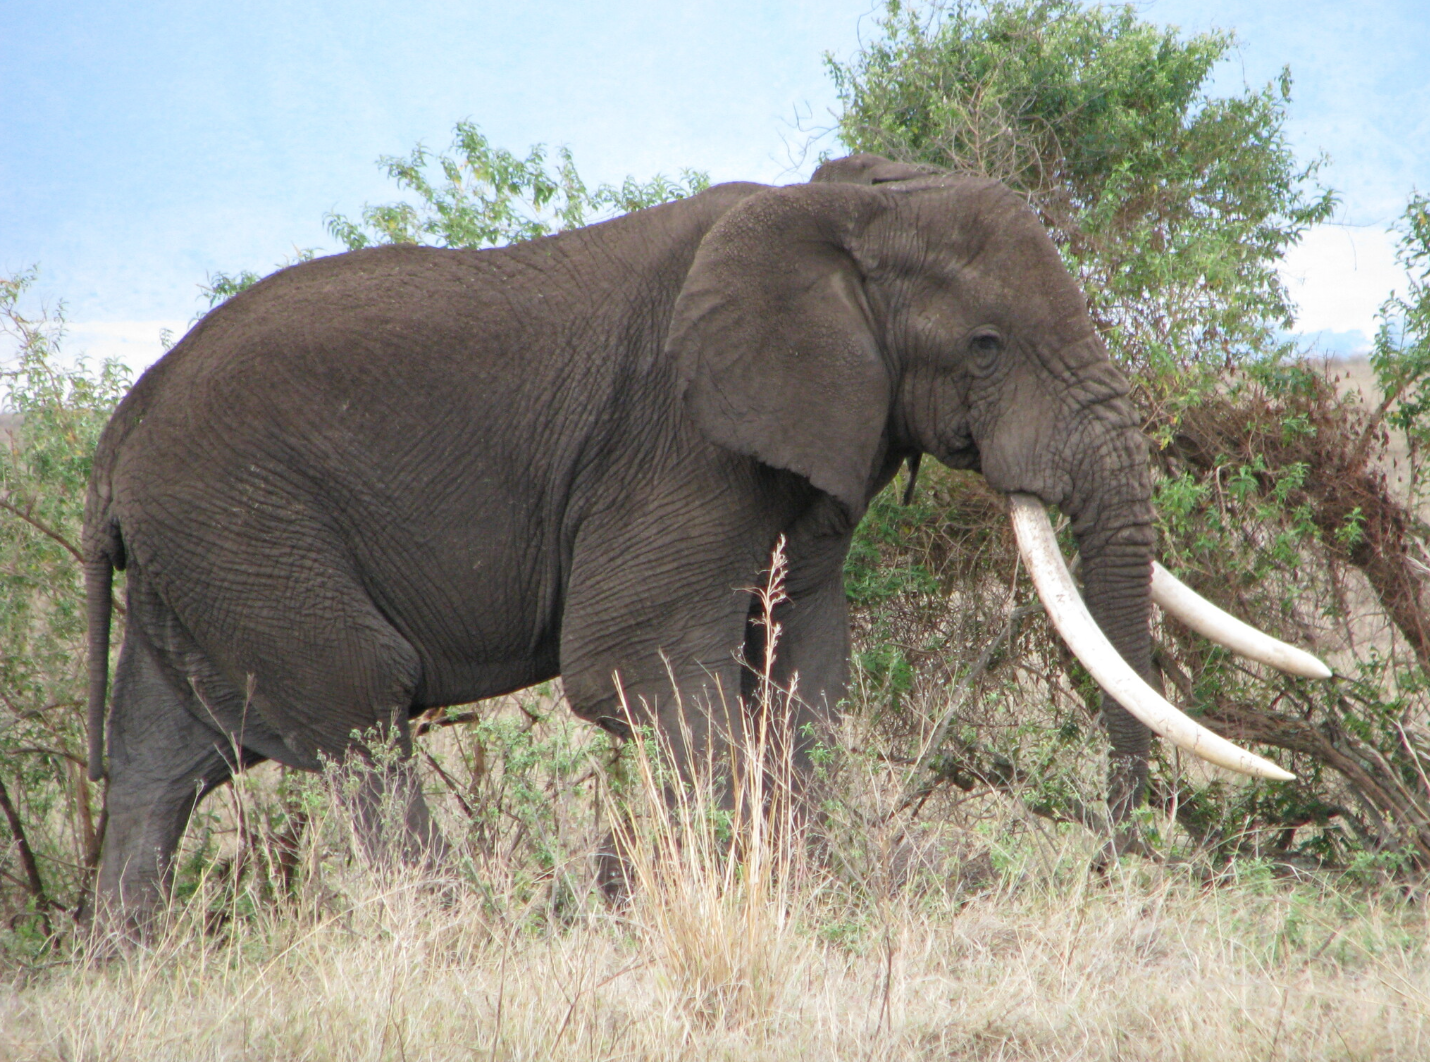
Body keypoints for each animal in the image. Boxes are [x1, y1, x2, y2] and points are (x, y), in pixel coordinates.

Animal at [81, 154, 1324, 931]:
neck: (827, 213)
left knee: (158, 765)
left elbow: (800, 669)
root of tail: (119, 432)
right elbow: (633, 669)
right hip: (247, 527)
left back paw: (129, 966)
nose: (1108, 861)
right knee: (360, 720)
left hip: (207, 555)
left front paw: (825, 898)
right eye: (984, 345)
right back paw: (450, 936)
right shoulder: (677, 439)